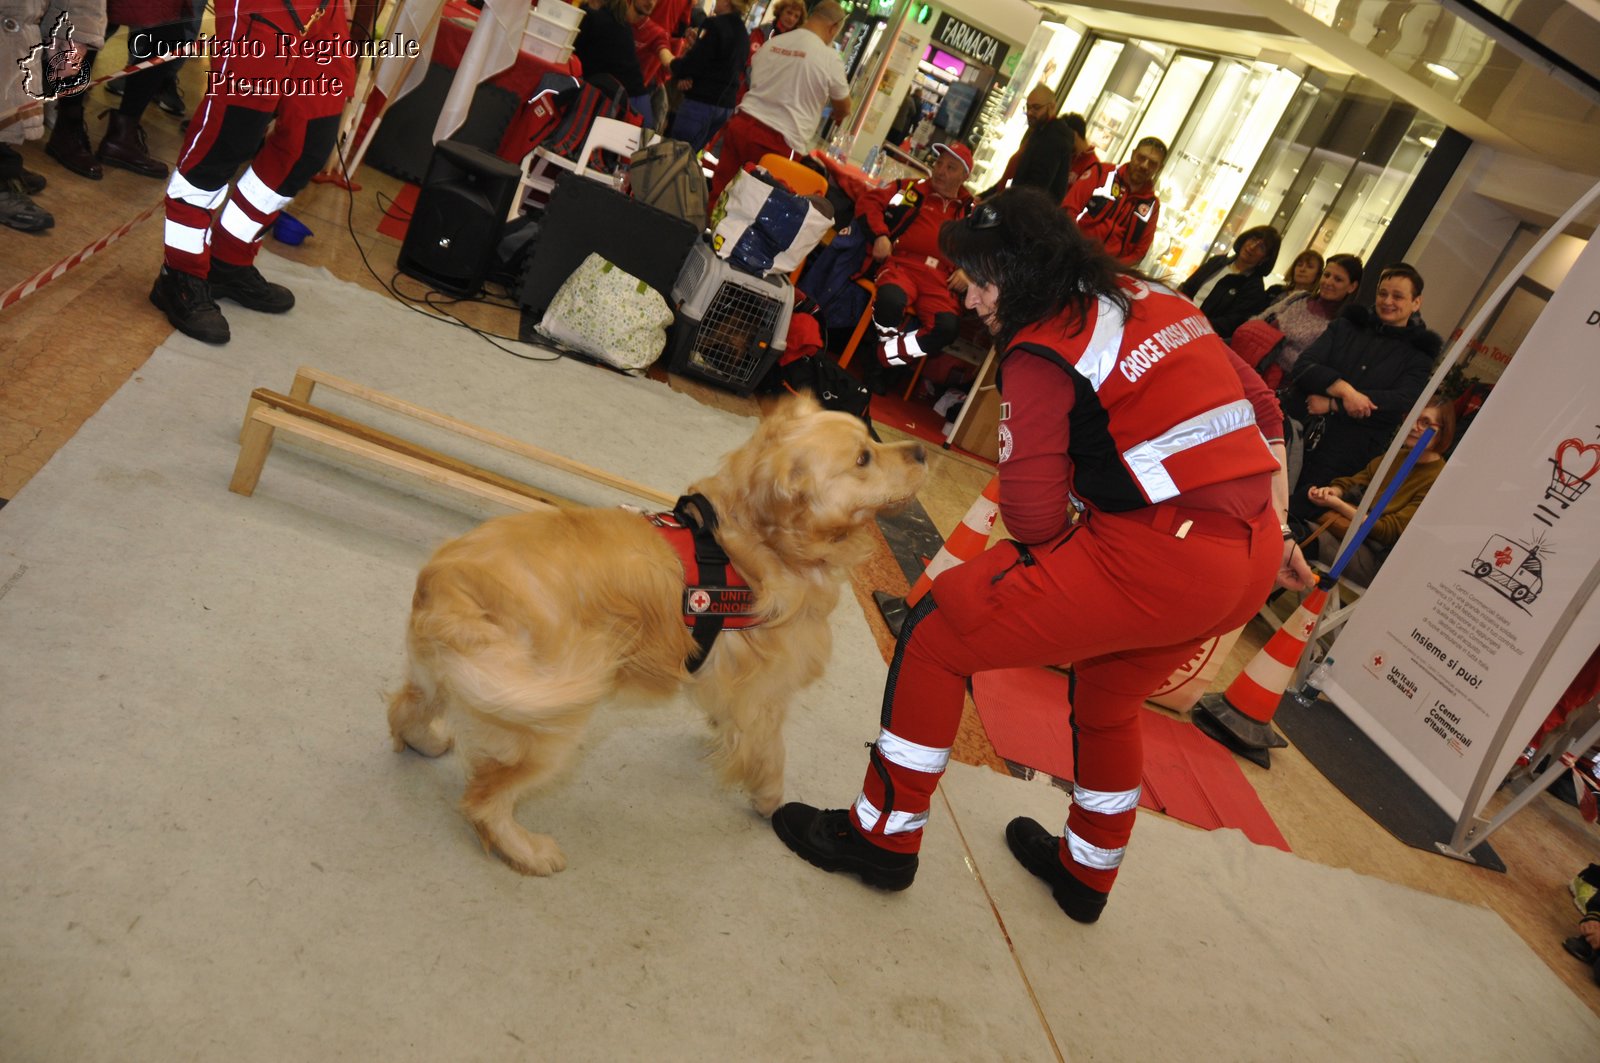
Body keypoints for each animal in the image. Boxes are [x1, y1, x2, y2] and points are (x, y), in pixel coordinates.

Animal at [385, 393, 928, 877]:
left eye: (872, 438)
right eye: (863, 458)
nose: (921, 453)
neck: (752, 541)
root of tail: (448, 583)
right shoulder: (764, 693)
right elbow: (770, 751)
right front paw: (769, 797)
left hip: (452, 677)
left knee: (405, 711)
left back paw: (428, 741)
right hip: (545, 715)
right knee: (483, 800)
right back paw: (529, 851)